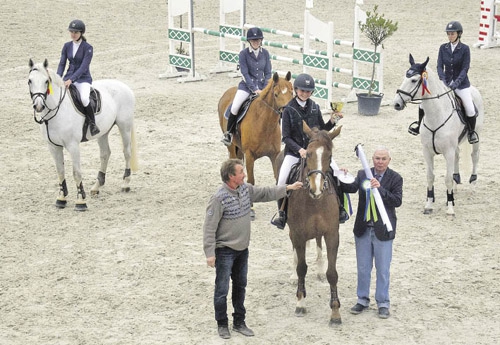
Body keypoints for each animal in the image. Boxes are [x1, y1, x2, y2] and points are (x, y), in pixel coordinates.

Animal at [28, 58, 138, 210]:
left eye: (46, 81)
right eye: (29, 81)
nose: (38, 106)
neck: (57, 111)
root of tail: (124, 86)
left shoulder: (73, 146)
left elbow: (76, 172)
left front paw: (80, 201)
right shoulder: (53, 146)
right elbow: (60, 171)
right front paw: (61, 198)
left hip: (124, 126)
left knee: (127, 152)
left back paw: (125, 184)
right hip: (103, 132)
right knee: (105, 154)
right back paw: (96, 187)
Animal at [278, 123, 344, 326]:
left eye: (329, 156)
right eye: (308, 154)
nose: (316, 188)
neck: (314, 201)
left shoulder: (332, 234)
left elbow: (332, 273)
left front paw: (335, 312)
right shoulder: (298, 233)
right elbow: (301, 267)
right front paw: (300, 303)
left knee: (317, 242)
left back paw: (320, 269)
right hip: (292, 231)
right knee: (295, 253)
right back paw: (293, 276)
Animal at [392, 53, 482, 215]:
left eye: (413, 80)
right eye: (404, 77)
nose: (396, 104)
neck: (436, 116)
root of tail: (473, 89)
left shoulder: (448, 152)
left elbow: (446, 178)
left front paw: (450, 207)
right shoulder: (427, 151)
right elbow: (430, 177)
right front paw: (429, 204)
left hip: (476, 136)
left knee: (475, 156)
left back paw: (472, 185)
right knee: (458, 157)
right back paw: (456, 184)